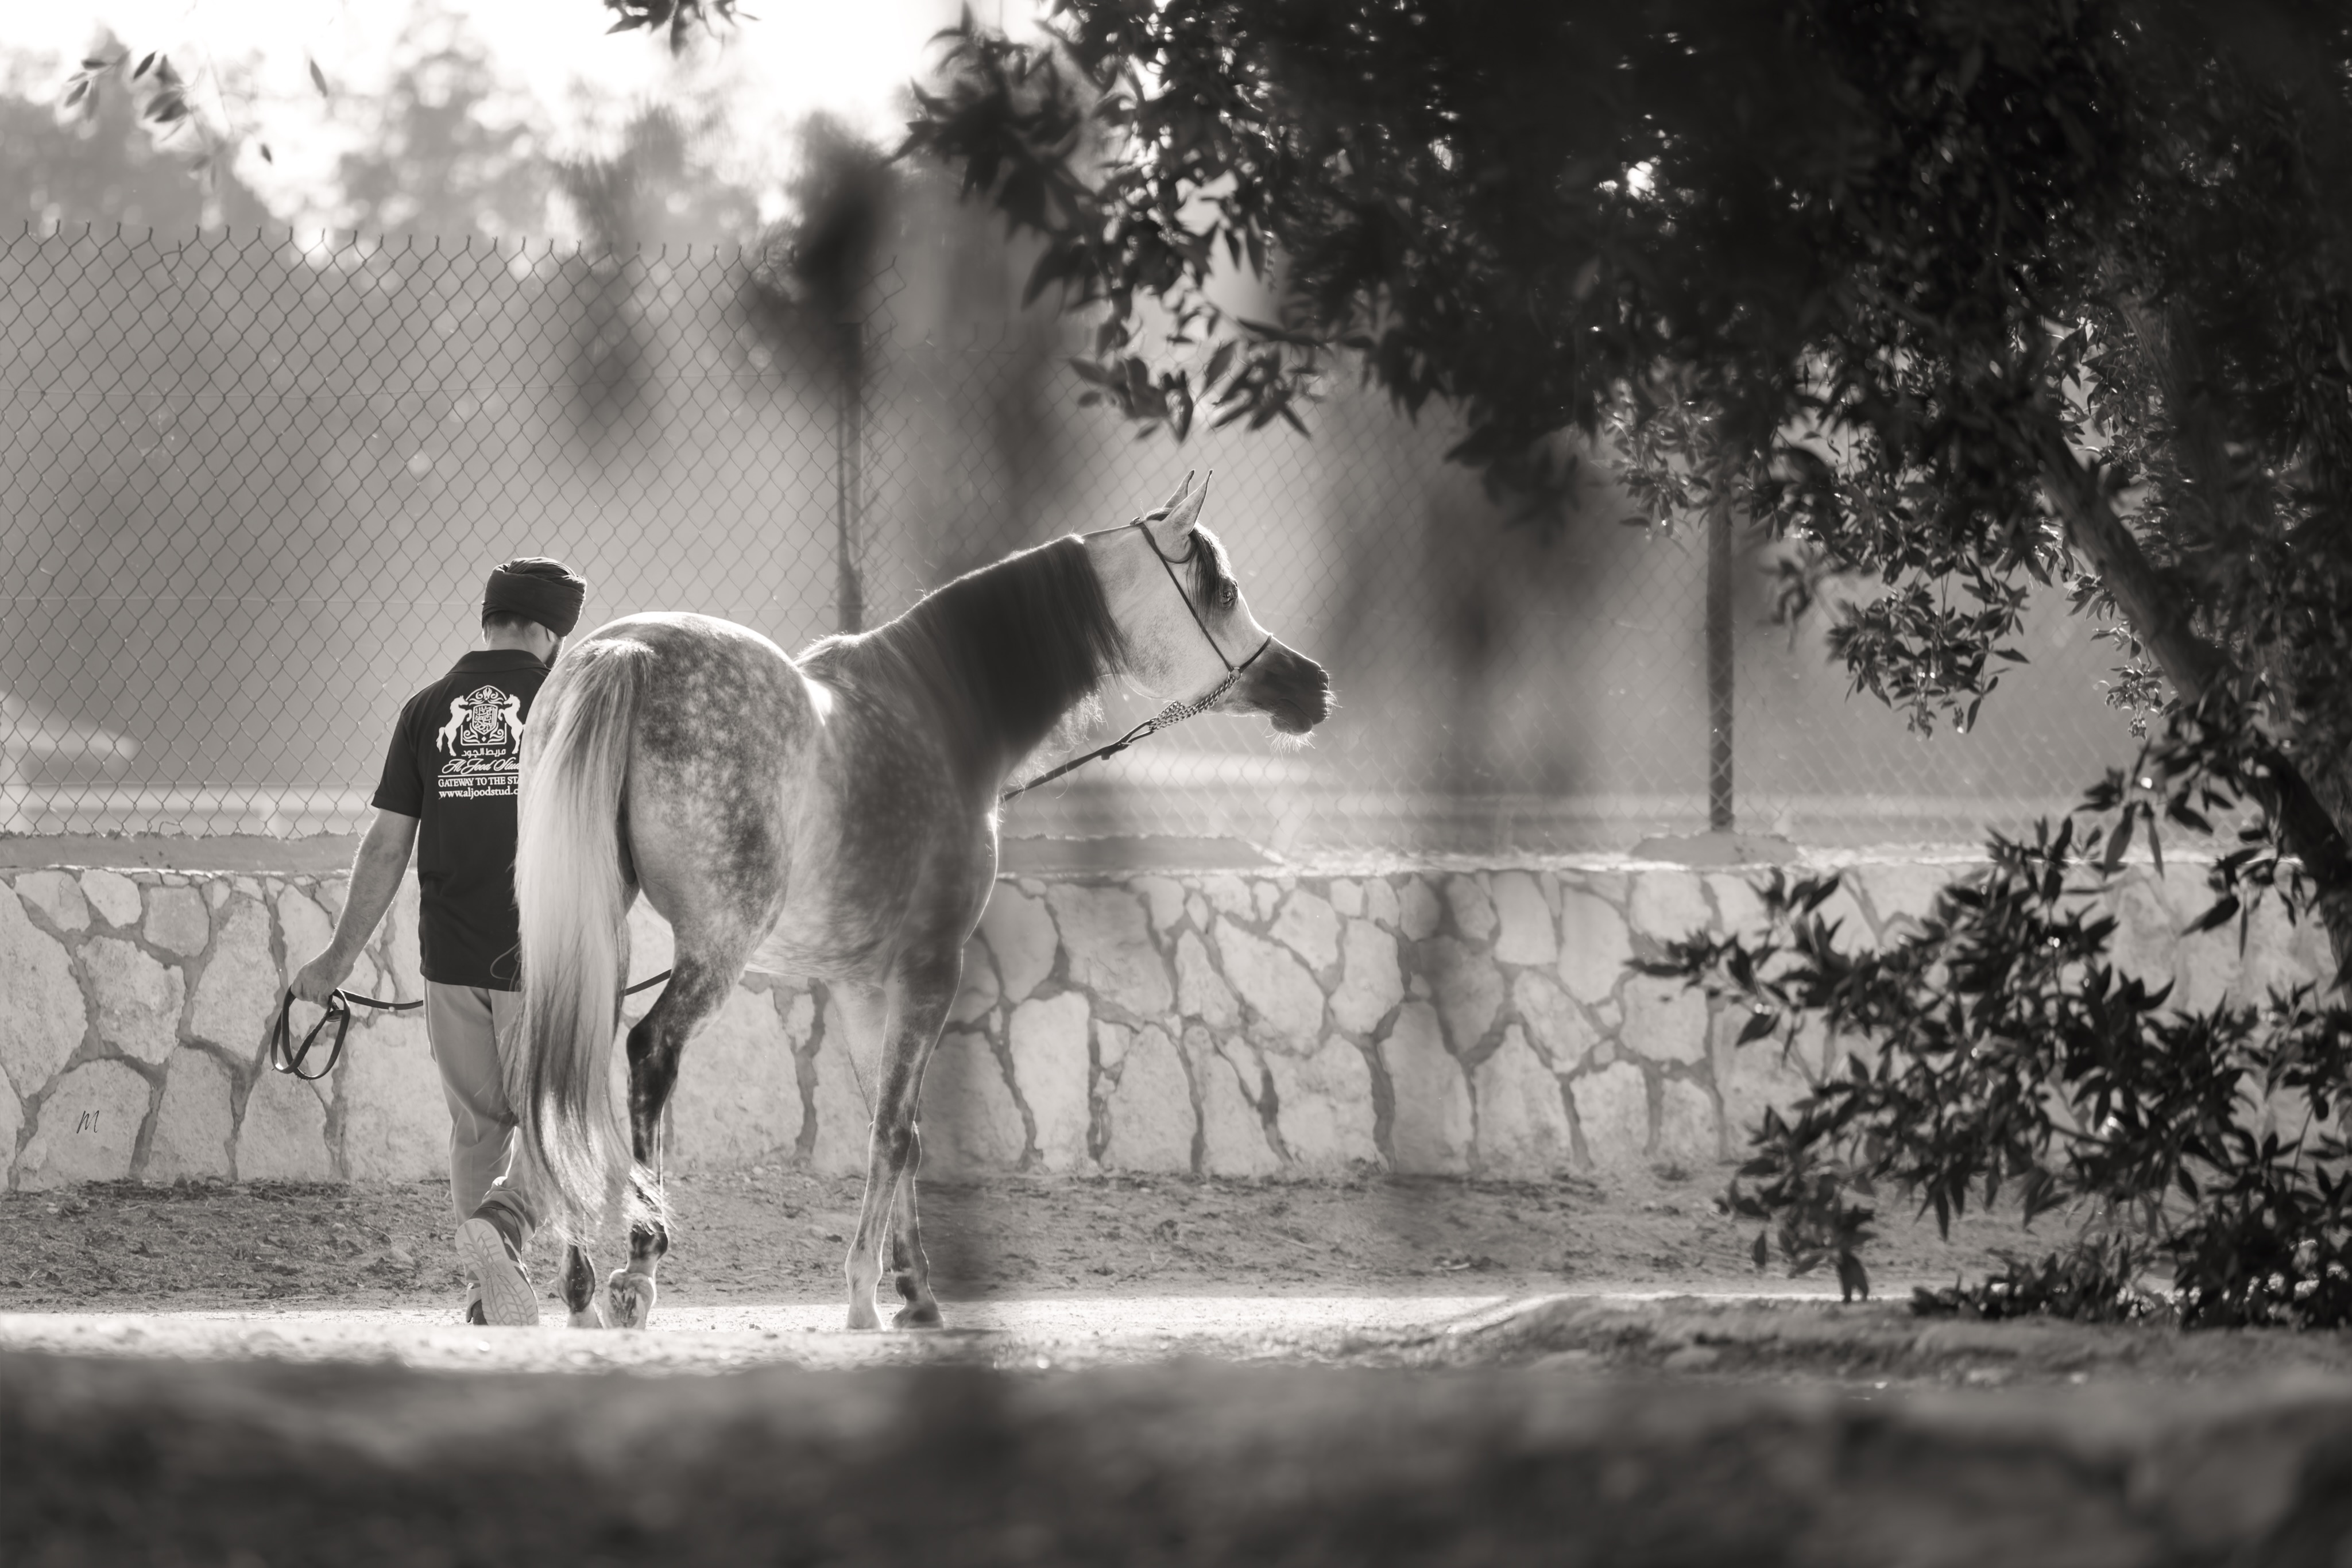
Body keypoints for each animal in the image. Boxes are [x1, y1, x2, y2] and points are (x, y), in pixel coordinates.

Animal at [509, 474, 1332, 1330]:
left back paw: (578, 1283)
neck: (935, 714)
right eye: (1223, 590)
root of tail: (626, 652)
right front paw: (868, 1293)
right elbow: (898, 1134)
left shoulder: (860, 987)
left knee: (557, 1068)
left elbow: (895, 1126)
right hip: (717, 947)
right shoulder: (931, 969)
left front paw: (914, 1290)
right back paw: (636, 1268)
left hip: (595, 937)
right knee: (648, 1052)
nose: (1309, 684)